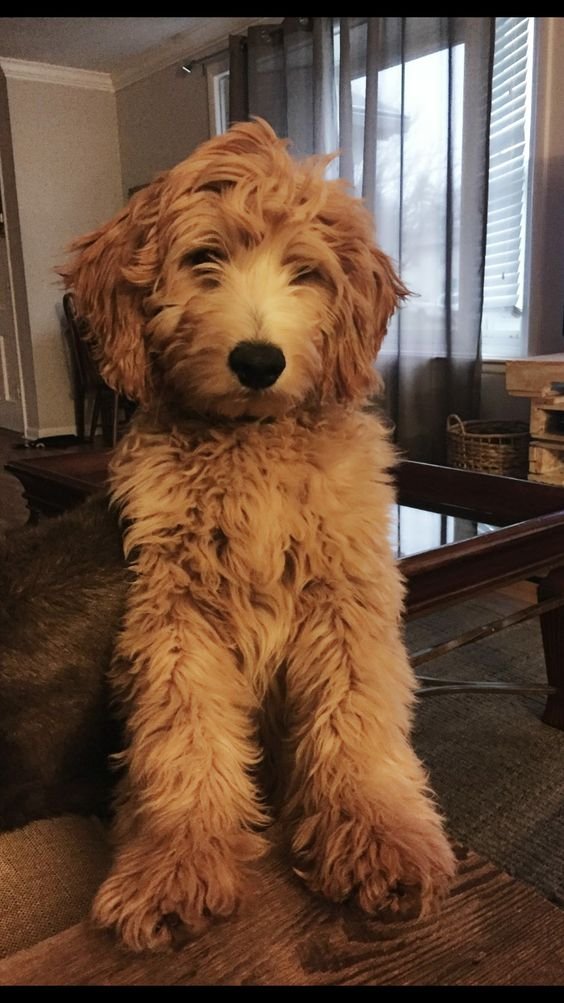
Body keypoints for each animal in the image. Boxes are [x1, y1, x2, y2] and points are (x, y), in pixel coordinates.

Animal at [63, 115, 453, 946]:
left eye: (306, 271)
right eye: (203, 258)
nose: (257, 360)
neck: (252, 442)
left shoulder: (346, 594)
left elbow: (356, 714)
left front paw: (379, 835)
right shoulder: (174, 610)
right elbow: (182, 730)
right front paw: (175, 858)